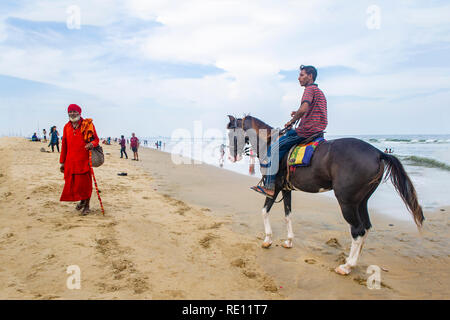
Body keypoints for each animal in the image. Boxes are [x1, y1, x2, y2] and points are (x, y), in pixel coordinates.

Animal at [227, 115, 424, 276]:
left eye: (231, 134)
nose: (232, 156)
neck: (269, 142)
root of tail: (378, 153)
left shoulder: (273, 187)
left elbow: (264, 211)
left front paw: (268, 239)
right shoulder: (286, 189)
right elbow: (287, 215)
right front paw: (289, 241)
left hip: (347, 202)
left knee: (358, 230)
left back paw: (347, 266)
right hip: (361, 202)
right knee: (366, 227)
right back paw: (353, 260)